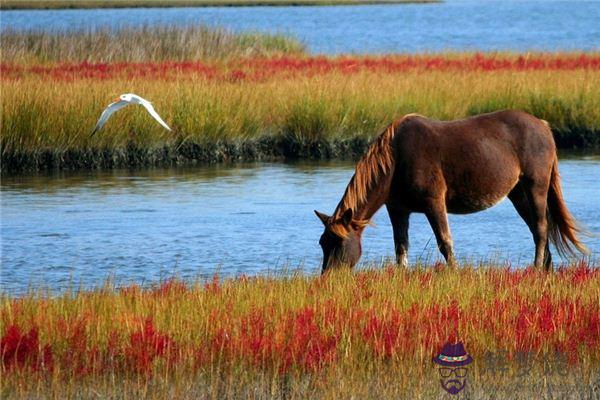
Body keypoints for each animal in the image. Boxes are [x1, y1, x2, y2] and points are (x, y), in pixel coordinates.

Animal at [316, 109, 588, 272]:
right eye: (322, 243)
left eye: (339, 243)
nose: (328, 278)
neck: (396, 159)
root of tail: (543, 125)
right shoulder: (398, 209)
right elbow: (401, 246)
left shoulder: (434, 202)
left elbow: (445, 242)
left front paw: (454, 272)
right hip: (518, 194)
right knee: (536, 228)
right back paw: (546, 268)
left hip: (536, 186)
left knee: (541, 228)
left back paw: (536, 268)